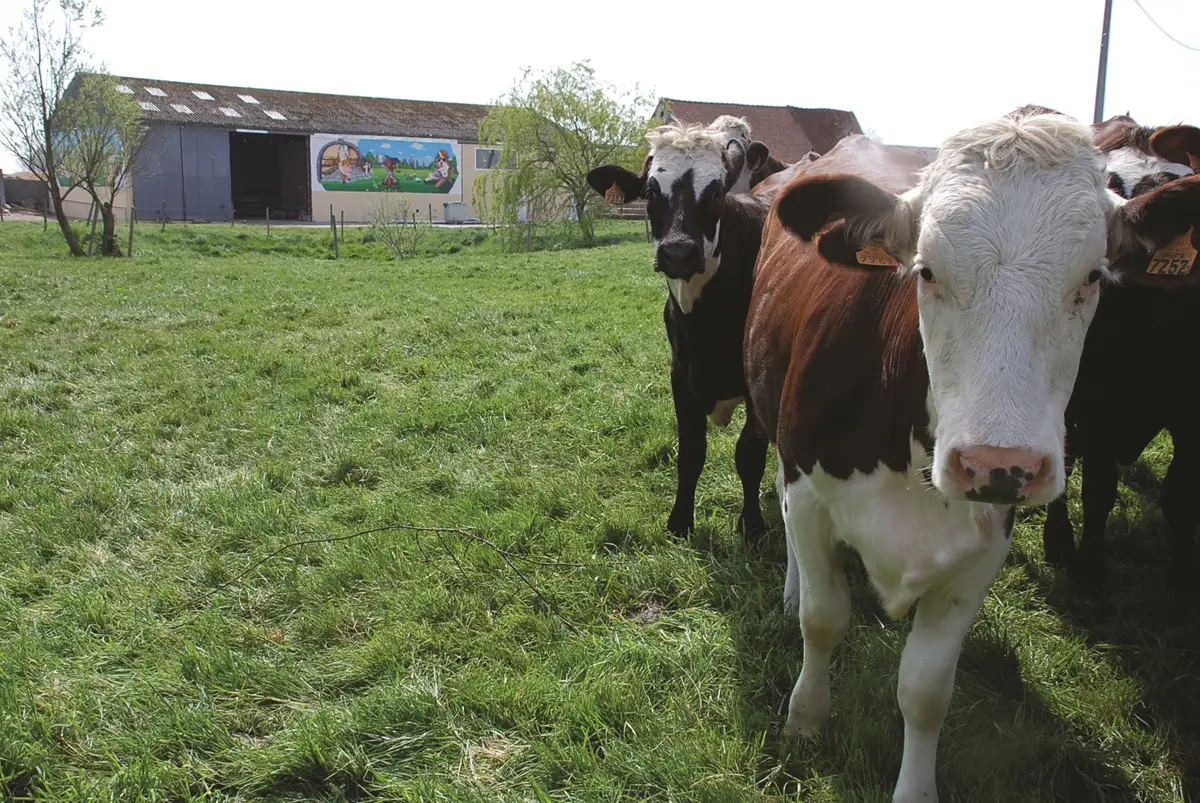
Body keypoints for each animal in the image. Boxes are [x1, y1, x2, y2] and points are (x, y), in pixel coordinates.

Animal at [586, 115, 781, 539]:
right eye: (650, 190)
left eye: (717, 192)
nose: (677, 252)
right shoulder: (680, 373)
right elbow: (691, 451)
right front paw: (679, 521)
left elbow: (749, 455)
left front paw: (752, 524)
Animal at [1042, 116, 1200, 588]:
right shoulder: (1097, 406)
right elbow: (1097, 489)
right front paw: (1090, 568)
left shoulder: (1191, 412)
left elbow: (1181, 492)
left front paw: (1183, 574)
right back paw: (1059, 542)